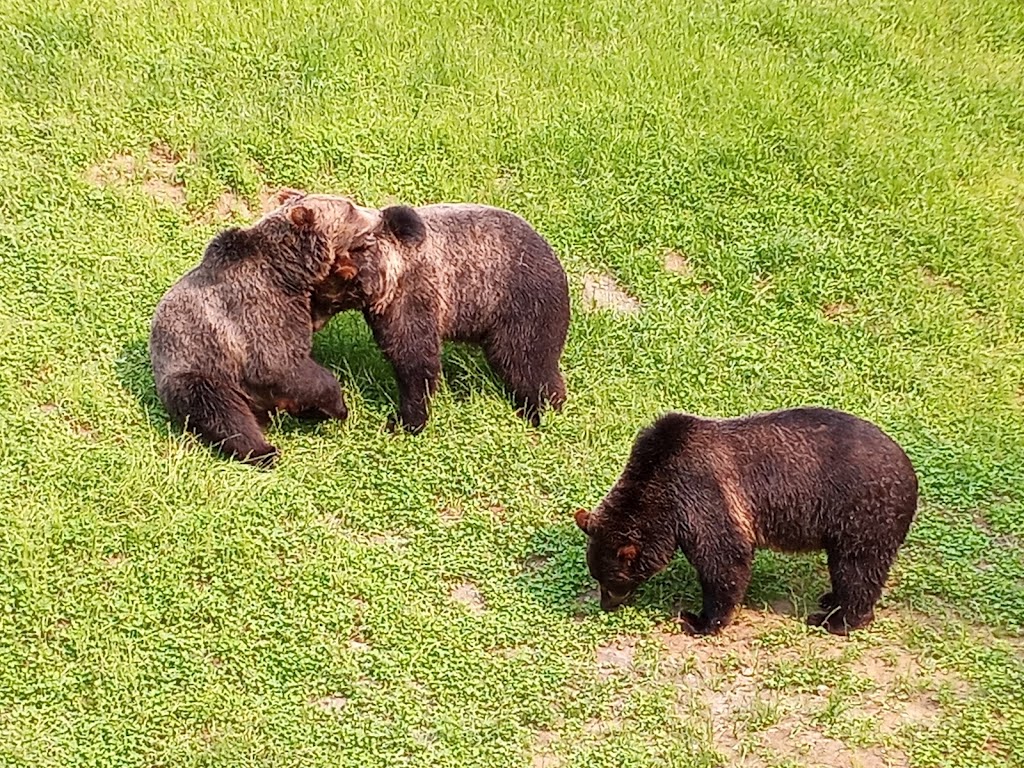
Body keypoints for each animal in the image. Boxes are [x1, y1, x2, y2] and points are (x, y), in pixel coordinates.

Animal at [148, 192, 380, 468]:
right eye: (351, 208)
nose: (378, 214)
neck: (286, 270)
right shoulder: (256, 308)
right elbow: (277, 363)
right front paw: (338, 406)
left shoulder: (299, 302)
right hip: (200, 372)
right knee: (225, 413)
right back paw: (264, 451)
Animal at [307, 199, 573, 434]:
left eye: (319, 296)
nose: (312, 323)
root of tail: (555, 259)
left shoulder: (414, 298)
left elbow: (415, 359)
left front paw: (406, 421)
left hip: (520, 304)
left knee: (527, 360)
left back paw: (542, 410)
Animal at [577, 409, 921, 638]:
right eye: (598, 576)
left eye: (612, 580)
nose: (606, 604)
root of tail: (909, 469)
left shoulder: (703, 496)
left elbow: (723, 561)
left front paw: (698, 620)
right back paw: (830, 599)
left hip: (860, 514)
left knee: (857, 567)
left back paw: (834, 619)